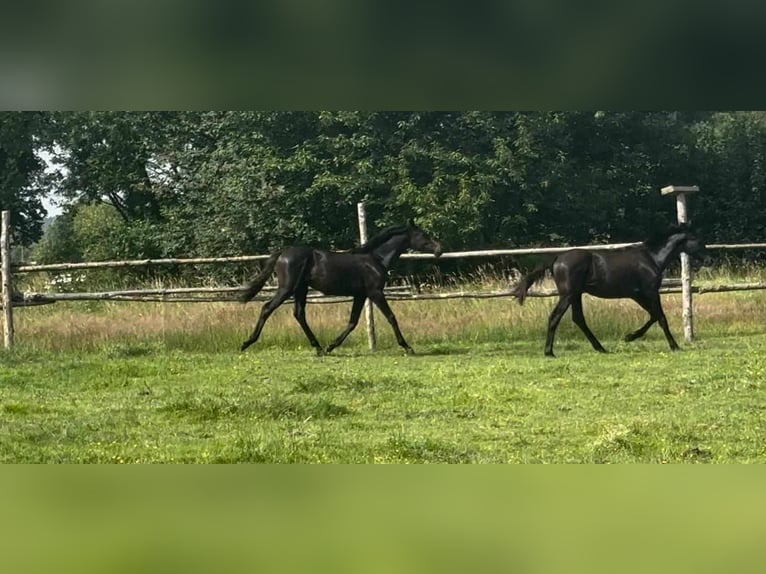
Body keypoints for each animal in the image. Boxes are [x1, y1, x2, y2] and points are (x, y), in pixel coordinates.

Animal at [240, 220, 444, 356]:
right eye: (423, 235)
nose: (439, 249)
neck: (375, 259)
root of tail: (283, 252)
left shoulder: (360, 295)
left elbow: (352, 322)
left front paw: (331, 346)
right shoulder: (375, 293)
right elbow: (391, 317)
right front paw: (408, 347)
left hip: (300, 289)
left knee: (299, 314)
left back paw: (319, 348)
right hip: (287, 288)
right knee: (267, 308)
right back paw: (247, 343)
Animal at [512, 224, 704, 356]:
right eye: (696, 238)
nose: (706, 258)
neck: (652, 258)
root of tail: (557, 258)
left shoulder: (637, 294)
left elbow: (653, 315)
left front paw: (629, 336)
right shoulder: (650, 292)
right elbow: (661, 317)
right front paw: (674, 346)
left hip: (576, 294)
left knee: (578, 319)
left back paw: (600, 348)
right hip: (567, 295)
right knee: (555, 317)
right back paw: (549, 352)